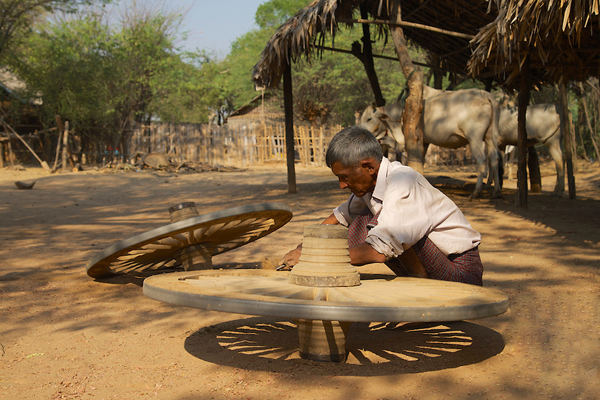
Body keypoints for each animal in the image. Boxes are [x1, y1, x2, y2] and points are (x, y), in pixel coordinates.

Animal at [360, 85, 502, 198]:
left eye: (369, 118)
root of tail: (486, 94)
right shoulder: (425, 141)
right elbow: (421, 160)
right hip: (489, 137)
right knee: (494, 158)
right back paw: (496, 191)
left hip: (474, 137)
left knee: (482, 160)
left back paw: (477, 192)